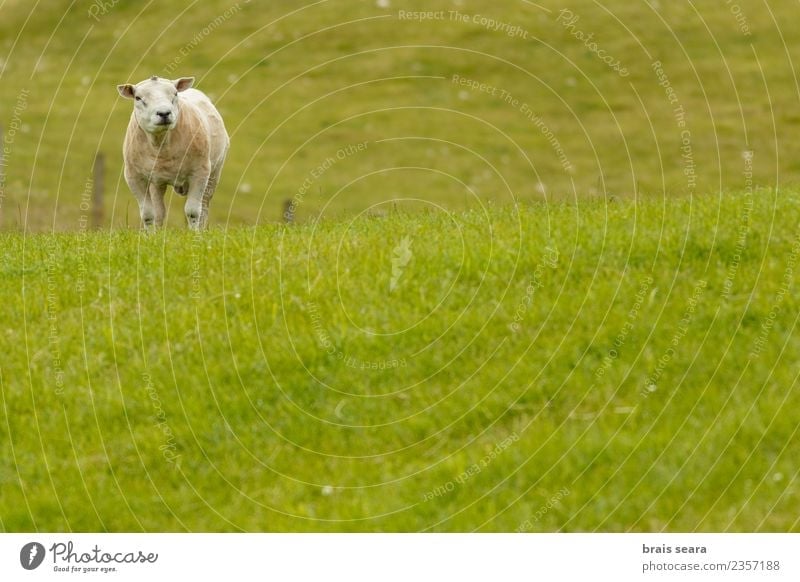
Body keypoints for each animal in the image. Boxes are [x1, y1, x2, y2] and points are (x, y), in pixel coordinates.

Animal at [115, 76, 230, 232]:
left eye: (175, 94)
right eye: (138, 98)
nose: (164, 113)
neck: (161, 146)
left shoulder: (200, 172)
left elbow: (193, 211)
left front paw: (194, 234)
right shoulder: (133, 176)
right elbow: (148, 214)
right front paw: (150, 235)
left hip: (214, 172)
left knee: (204, 207)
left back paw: (201, 230)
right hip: (156, 182)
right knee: (159, 211)